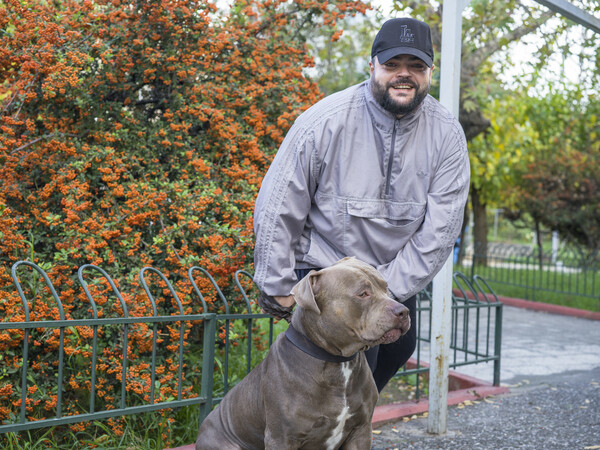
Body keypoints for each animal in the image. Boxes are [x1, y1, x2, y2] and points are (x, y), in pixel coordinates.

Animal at [195, 256, 410, 450]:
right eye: (363, 293)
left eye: (385, 287)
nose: (404, 311)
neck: (338, 361)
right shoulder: (281, 438)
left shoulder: (361, 429)